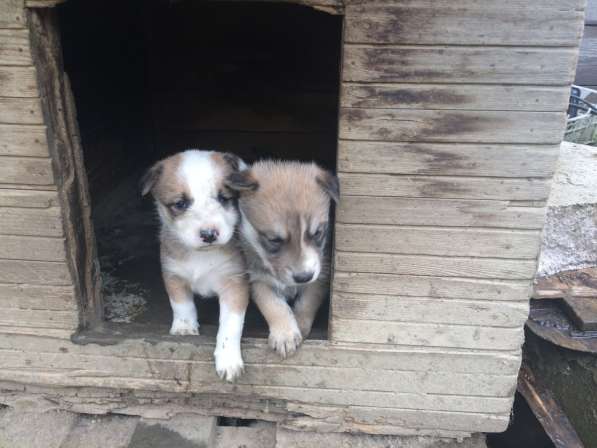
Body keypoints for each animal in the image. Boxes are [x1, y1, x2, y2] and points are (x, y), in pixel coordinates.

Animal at [141, 150, 248, 382]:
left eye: (224, 198)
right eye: (180, 204)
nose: (209, 234)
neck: (202, 255)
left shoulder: (235, 283)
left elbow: (230, 324)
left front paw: (228, 359)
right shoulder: (173, 274)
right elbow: (181, 303)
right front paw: (184, 327)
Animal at [225, 160, 338, 356]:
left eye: (317, 233)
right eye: (274, 240)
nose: (303, 277)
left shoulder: (320, 275)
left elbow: (307, 302)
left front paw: (299, 325)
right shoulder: (258, 280)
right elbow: (273, 305)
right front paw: (285, 334)